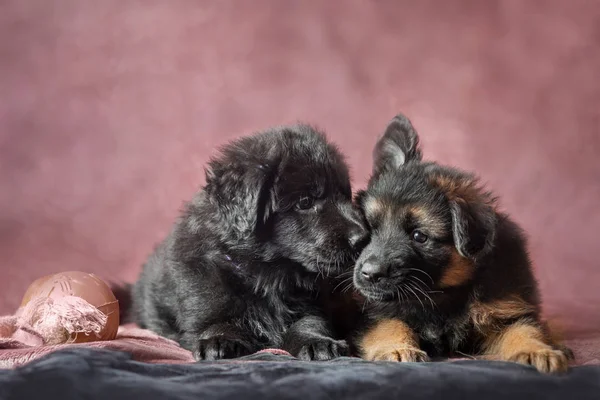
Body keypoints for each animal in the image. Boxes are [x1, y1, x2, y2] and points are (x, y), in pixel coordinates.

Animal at [127, 125, 366, 362]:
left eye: (345, 196)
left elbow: (310, 323)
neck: (268, 276)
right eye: (305, 202)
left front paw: (318, 342)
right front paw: (218, 341)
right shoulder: (204, 292)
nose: (362, 239)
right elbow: (218, 320)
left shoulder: (313, 303)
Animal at [354, 114, 576, 374]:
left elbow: (524, 329)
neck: (444, 294)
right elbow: (389, 326)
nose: (370, 274)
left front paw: (538, 350)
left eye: (419, 236)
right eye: (369, 228)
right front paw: (397, 349)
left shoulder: (505, 309)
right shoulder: (375, 312)